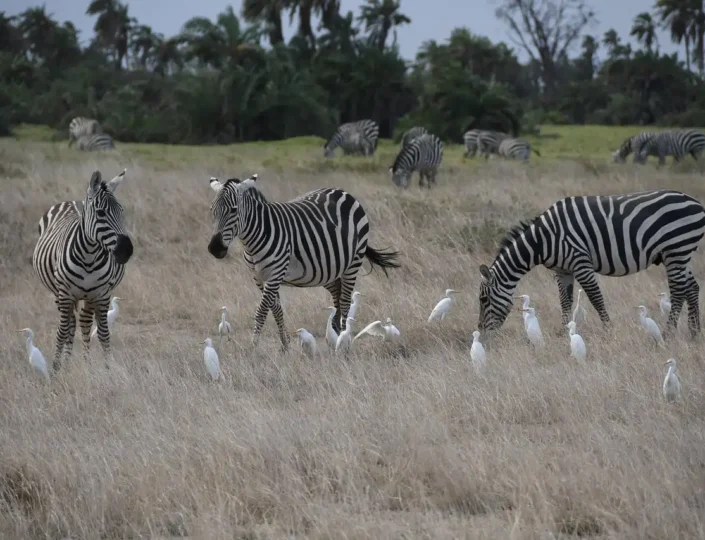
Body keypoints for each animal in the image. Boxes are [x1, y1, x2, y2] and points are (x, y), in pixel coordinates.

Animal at [33, 169, 134, 371]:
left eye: (122, 211)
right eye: (101, 213)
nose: (127, 250)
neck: (89, 256)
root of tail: (72, 201)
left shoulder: (102, 294)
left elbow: (103, 333)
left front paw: (108, 368)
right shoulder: (64, 293)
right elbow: (62, 331)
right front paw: (56, 368)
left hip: (89, 295)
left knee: (84, 322)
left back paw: (86, 361)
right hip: (60, 293)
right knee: (70, 324)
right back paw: (65, 362)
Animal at [207, 174, 400, 350]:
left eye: (233, 210)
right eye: (212, 210)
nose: (215, 248)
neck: (254, 239)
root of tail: (343, 192)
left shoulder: (275, 274)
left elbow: (261, 311)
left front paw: (253, 347)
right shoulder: (259, 277)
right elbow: (276, 309)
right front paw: (285, 345)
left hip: (353, 263)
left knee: (345, 302)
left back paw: (344, 341)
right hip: (326, 269)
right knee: (337, 295)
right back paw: (336, 333)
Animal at [477, 190, 705, 339]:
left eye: (484, 299)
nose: (482, 333)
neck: (544, 240)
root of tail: (695, 202)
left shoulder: (580, 262)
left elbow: (596, 298)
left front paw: (609, 330)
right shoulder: (563, 271)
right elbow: (565, 301)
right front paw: (562, 332)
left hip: (676, 249)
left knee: (678, 291)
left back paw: (668, 333)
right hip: (680, 254)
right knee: (692, 287)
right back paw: (694, 332)